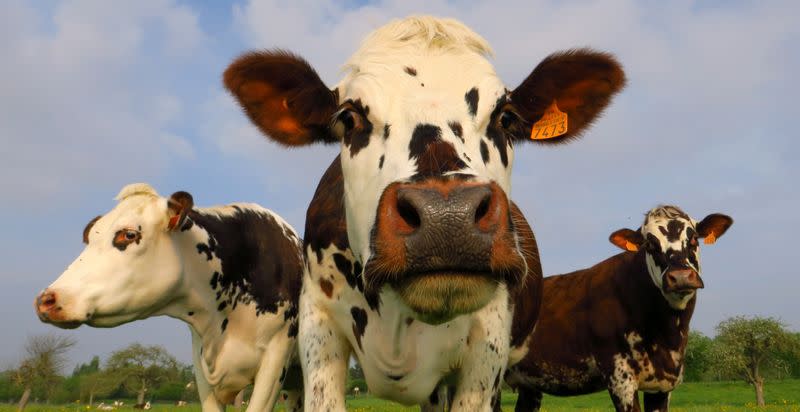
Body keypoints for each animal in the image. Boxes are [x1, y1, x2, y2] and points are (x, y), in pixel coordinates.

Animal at [510, 206, 736, 412]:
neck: (669, 333)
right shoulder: (620, 378)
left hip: (530, 385)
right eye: (650, 244)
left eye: (694, 239)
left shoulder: (663, 385)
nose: (680, 276)